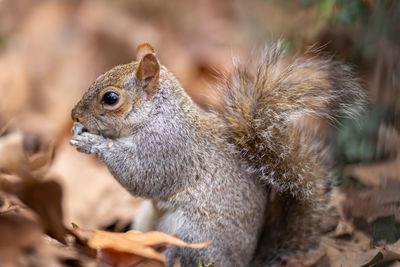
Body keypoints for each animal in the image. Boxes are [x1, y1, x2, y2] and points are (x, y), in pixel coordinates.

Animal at [69, 42, 366, 266]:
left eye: (110, 98)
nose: (74, 114)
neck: (158, 116)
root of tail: (244, 263)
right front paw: (79, 130)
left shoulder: (168, 150)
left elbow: (141, 176)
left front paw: (93, 143)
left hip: (194, 236)